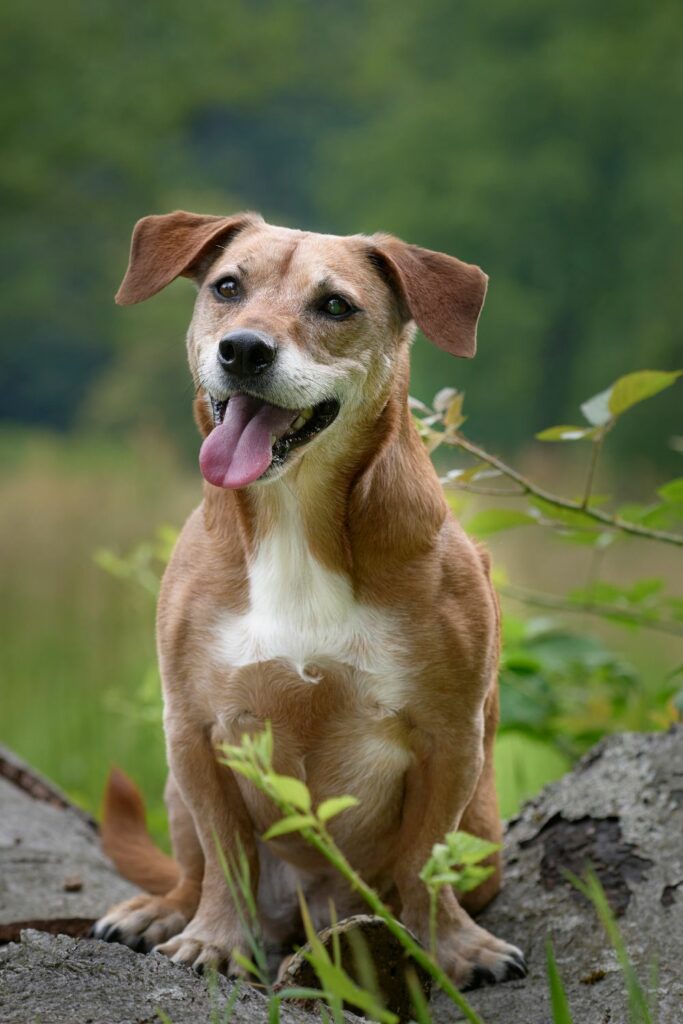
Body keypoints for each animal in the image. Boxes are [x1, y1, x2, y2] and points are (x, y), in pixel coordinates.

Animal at [92, 211, 528, 987]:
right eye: (226, 287)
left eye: (335, 305)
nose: (243, 349)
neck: (295, 516)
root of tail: (311, 913)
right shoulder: (195, 731)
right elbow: (225, 854)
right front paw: (214, 938)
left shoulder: (450, 738)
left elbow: (426, 861)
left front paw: (452, 946)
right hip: (175, 791)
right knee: (192, 869)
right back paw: (162, 910)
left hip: (480, 829)